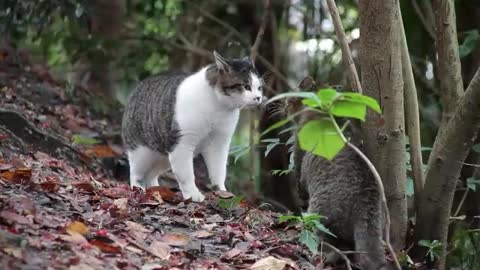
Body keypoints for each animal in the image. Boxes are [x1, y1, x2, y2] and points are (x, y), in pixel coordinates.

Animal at [120, 51, 262, 201]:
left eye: (259, 88)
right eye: (246, 86)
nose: (258, 97)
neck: (219, 107)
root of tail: (139, 86)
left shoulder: (219, 143)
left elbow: (219, 170)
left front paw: (222, 192)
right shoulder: (182, 142)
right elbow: (186, 174)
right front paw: (193, 195)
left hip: (162, 154)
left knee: (151, 174)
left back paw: (156, 190)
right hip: (141, 152)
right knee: (136, 173)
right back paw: (139, 189)